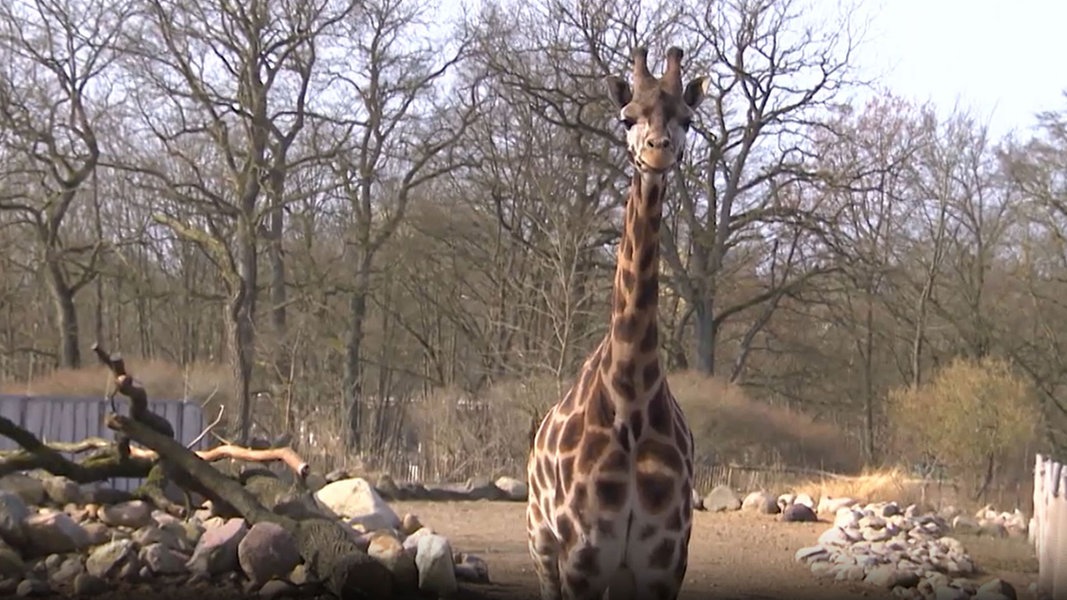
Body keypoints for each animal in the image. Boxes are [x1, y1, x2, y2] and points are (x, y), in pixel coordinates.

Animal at [524, 43, 708, 597]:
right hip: (541, 545)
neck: (630, 398)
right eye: (627, 116)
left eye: (686, 118)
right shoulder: (582, 559)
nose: (658, 148)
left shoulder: (662, 564)